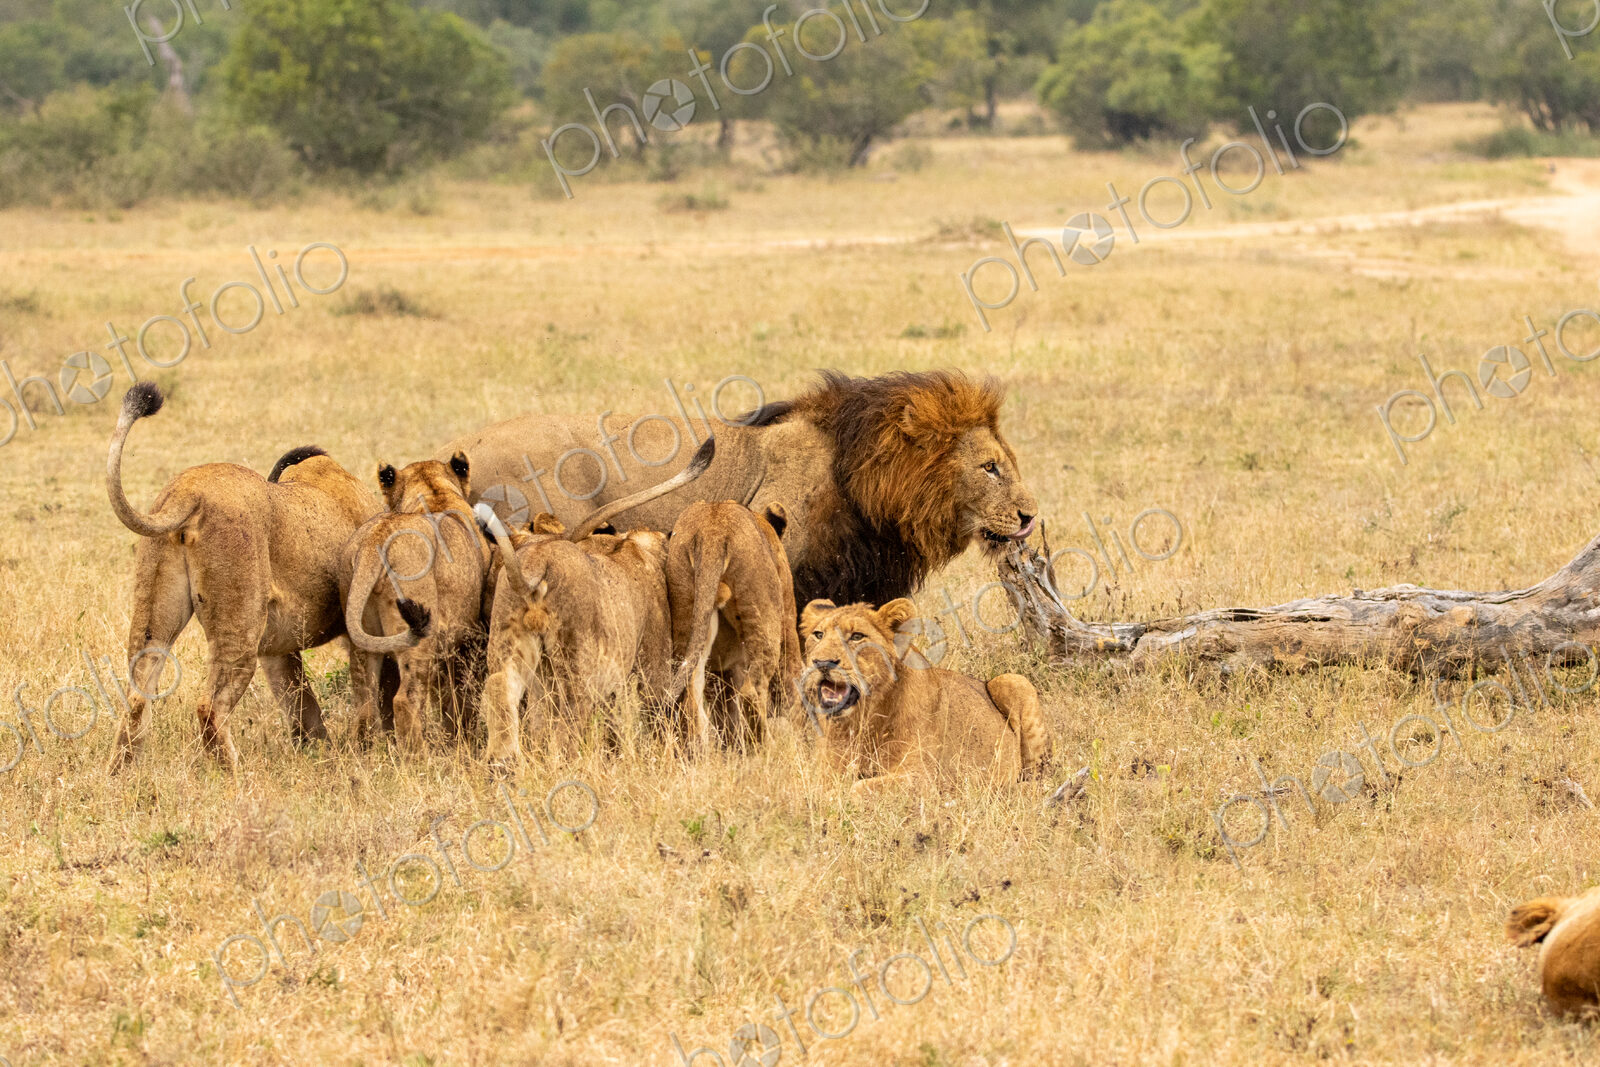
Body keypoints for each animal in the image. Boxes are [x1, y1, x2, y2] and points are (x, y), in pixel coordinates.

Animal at [104, 382, 382, 772]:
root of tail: (189, 489)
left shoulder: (277, 647)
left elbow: (303, 707)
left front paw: (322, 754)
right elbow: (367, 696)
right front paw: (365, 753)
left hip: (154, 614)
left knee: (137, 695)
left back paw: (122, 774)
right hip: (240, 626)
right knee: (209, 707)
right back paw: (236, 777)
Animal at [339, 454, 489, 753]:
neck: (434, 495)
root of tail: (374, 540)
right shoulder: (470, 639)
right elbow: (462, 699)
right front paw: (463, 742)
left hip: (361, 637)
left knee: (365, 703)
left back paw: (362, 756)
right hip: (419, 632)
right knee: (405, 699)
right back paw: (420, 757)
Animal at [665, 500, 802, 752]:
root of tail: (711, 532)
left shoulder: (720, 665)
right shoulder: (788, 619)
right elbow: (792, 683)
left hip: (685, 608)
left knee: (690, 697)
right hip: (764, 616)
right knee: (752, 690)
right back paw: (765, 748)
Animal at [798, 598, 1051, 792]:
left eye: (857, 636)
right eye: (818, 634)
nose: (822, 662)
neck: (863, 718)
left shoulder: (924, 777)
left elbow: (858, 789)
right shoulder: (826, 768)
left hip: (1015, 680)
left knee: (1037, 776)